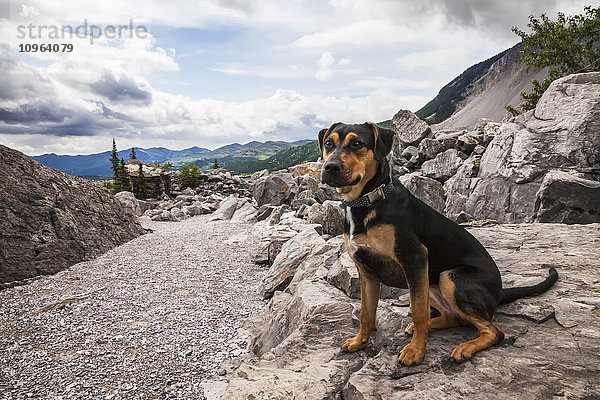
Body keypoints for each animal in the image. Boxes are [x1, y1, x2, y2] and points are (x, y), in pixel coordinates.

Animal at [318, 121, 556, 366]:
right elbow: (366, 314)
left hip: (449, 277)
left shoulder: (414, 259)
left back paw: (465, 347)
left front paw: (416, 351)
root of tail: (499, 292)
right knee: (455, 317)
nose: (330, 167)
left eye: (357, 144)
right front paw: (359, 342)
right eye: (328, 143)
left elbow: (419, 313)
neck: (365, 203)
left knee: (493, 331)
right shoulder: (366, 272)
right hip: (430, 282)